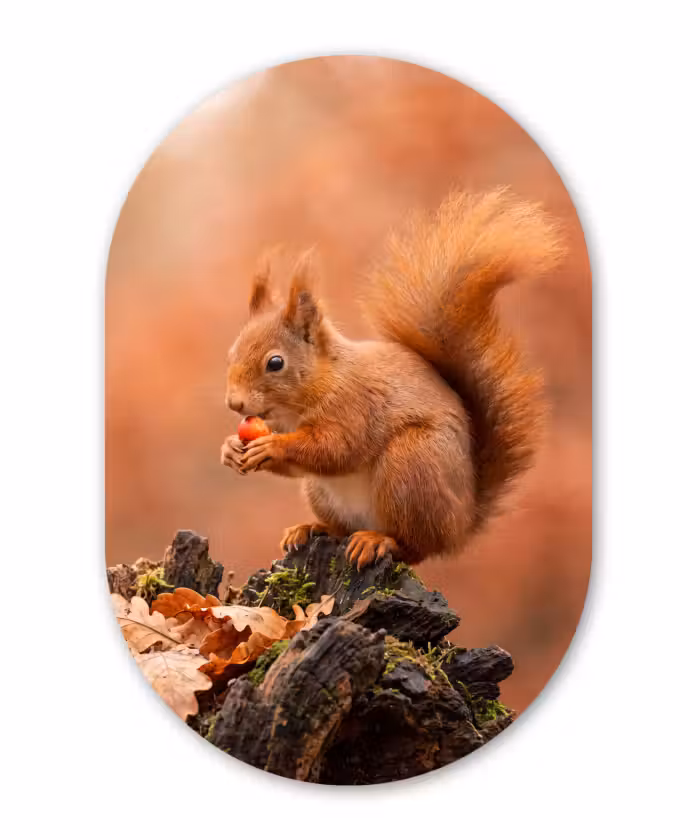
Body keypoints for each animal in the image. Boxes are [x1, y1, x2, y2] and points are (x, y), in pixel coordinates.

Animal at [221, 188, 563, 570]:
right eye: (231, 353)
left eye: (275, 363)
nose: (234, 403)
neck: (317, 385)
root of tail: (462, 524)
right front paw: (230, 449)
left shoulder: (354, 406)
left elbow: (335, 449)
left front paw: (273, 446)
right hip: (322, 491)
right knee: (341, 527)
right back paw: (311, 528)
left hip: (411, 465)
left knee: (415, 546)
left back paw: (378, 541)